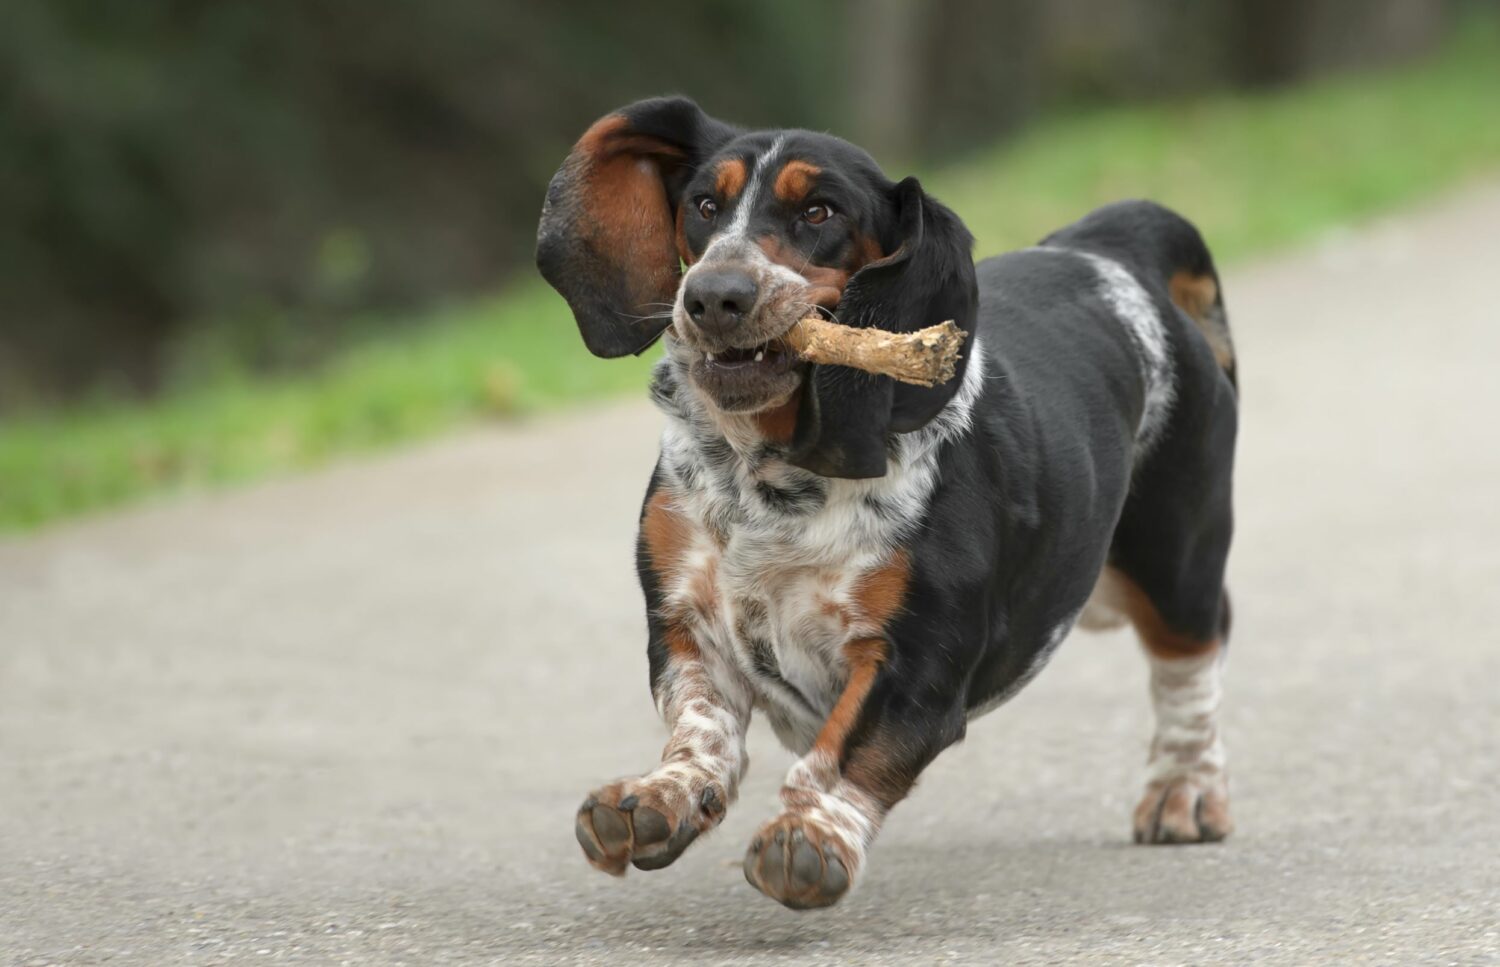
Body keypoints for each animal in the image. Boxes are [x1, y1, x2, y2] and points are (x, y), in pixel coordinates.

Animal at [534, 98, 1236, 905]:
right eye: (705, 205)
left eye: (819, 210)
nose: (713, 295)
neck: (775, 477)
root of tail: (1110, 252)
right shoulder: (686, 623)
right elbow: (702, 728)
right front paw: (660, 797)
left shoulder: (915, 658)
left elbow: (845, 753)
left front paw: (812, 835)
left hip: (1175, 555)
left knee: (1191, 658)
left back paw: (1184, 792)